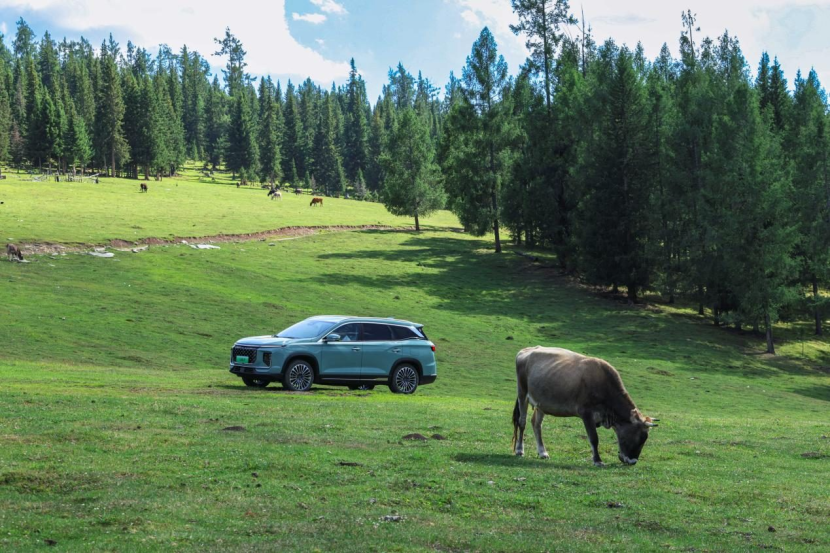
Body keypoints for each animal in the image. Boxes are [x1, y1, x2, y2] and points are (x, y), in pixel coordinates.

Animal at [510, 348, 660, 464]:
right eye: (639, 437)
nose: (633, 462)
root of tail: (526, 350)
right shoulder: (586, 413)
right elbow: (594, 438)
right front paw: (598, 460)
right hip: (522, 393)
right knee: (522, 422)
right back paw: (519, 450)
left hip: (541, 403)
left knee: (536, 424)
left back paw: (542, 452)